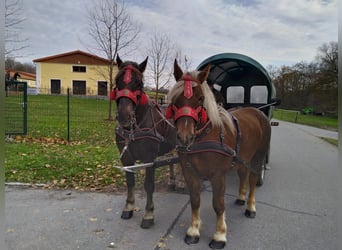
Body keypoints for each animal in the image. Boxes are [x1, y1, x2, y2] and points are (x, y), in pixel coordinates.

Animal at [113, 55, 178, 229]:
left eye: (139, 84)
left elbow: (149, 185)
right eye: (117, 80)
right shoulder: (126, 158)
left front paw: (149, 214)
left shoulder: (149, 159)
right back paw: (172, 181)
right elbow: (130, 181)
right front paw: (128, 207)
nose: (124, 116)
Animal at [166, 60, 272, 248]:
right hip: (243, 158)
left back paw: (250, 207)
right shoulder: (189, 172)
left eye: (201, 98)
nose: (184, 137)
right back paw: (241, 197)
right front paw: (193, 231)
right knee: (243, 174)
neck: (205, 135)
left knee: (252, 180)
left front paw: (219, 235)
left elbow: (218, 204)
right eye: (175, 98)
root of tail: (258, 112)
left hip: (258, 157)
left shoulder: (218, 175)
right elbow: (195, 199)